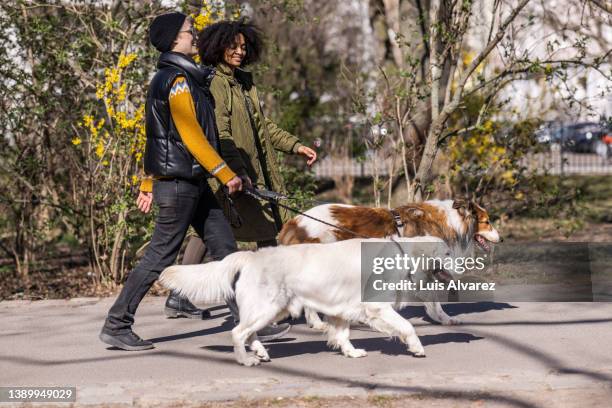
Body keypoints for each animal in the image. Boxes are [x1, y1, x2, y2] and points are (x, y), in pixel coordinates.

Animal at [160, 236, 452, 366]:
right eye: (448, 253)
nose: (461, 264)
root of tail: (250, 255)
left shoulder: (341, 309)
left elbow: (342, 334)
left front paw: (350, 352)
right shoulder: (376, 306)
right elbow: (407, 326)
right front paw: (417, 347)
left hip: (272, 309)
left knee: (249, 332)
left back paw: (261, 352)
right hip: (267, 307)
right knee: (238, 332)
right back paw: (246, 359)